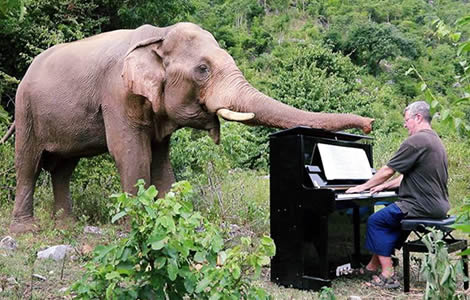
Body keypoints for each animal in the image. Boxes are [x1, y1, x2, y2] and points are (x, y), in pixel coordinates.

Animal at [0, 22, 374, 234]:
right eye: (203, 70)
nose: (369, 124)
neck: (158, 36)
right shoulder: (117, 92)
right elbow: (131, 152)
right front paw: (134, 229)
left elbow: (160, 159)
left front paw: (171, 221)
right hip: (26, 107)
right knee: (28, 163)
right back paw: (26, 231)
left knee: (64, 167)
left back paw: (66, 224)